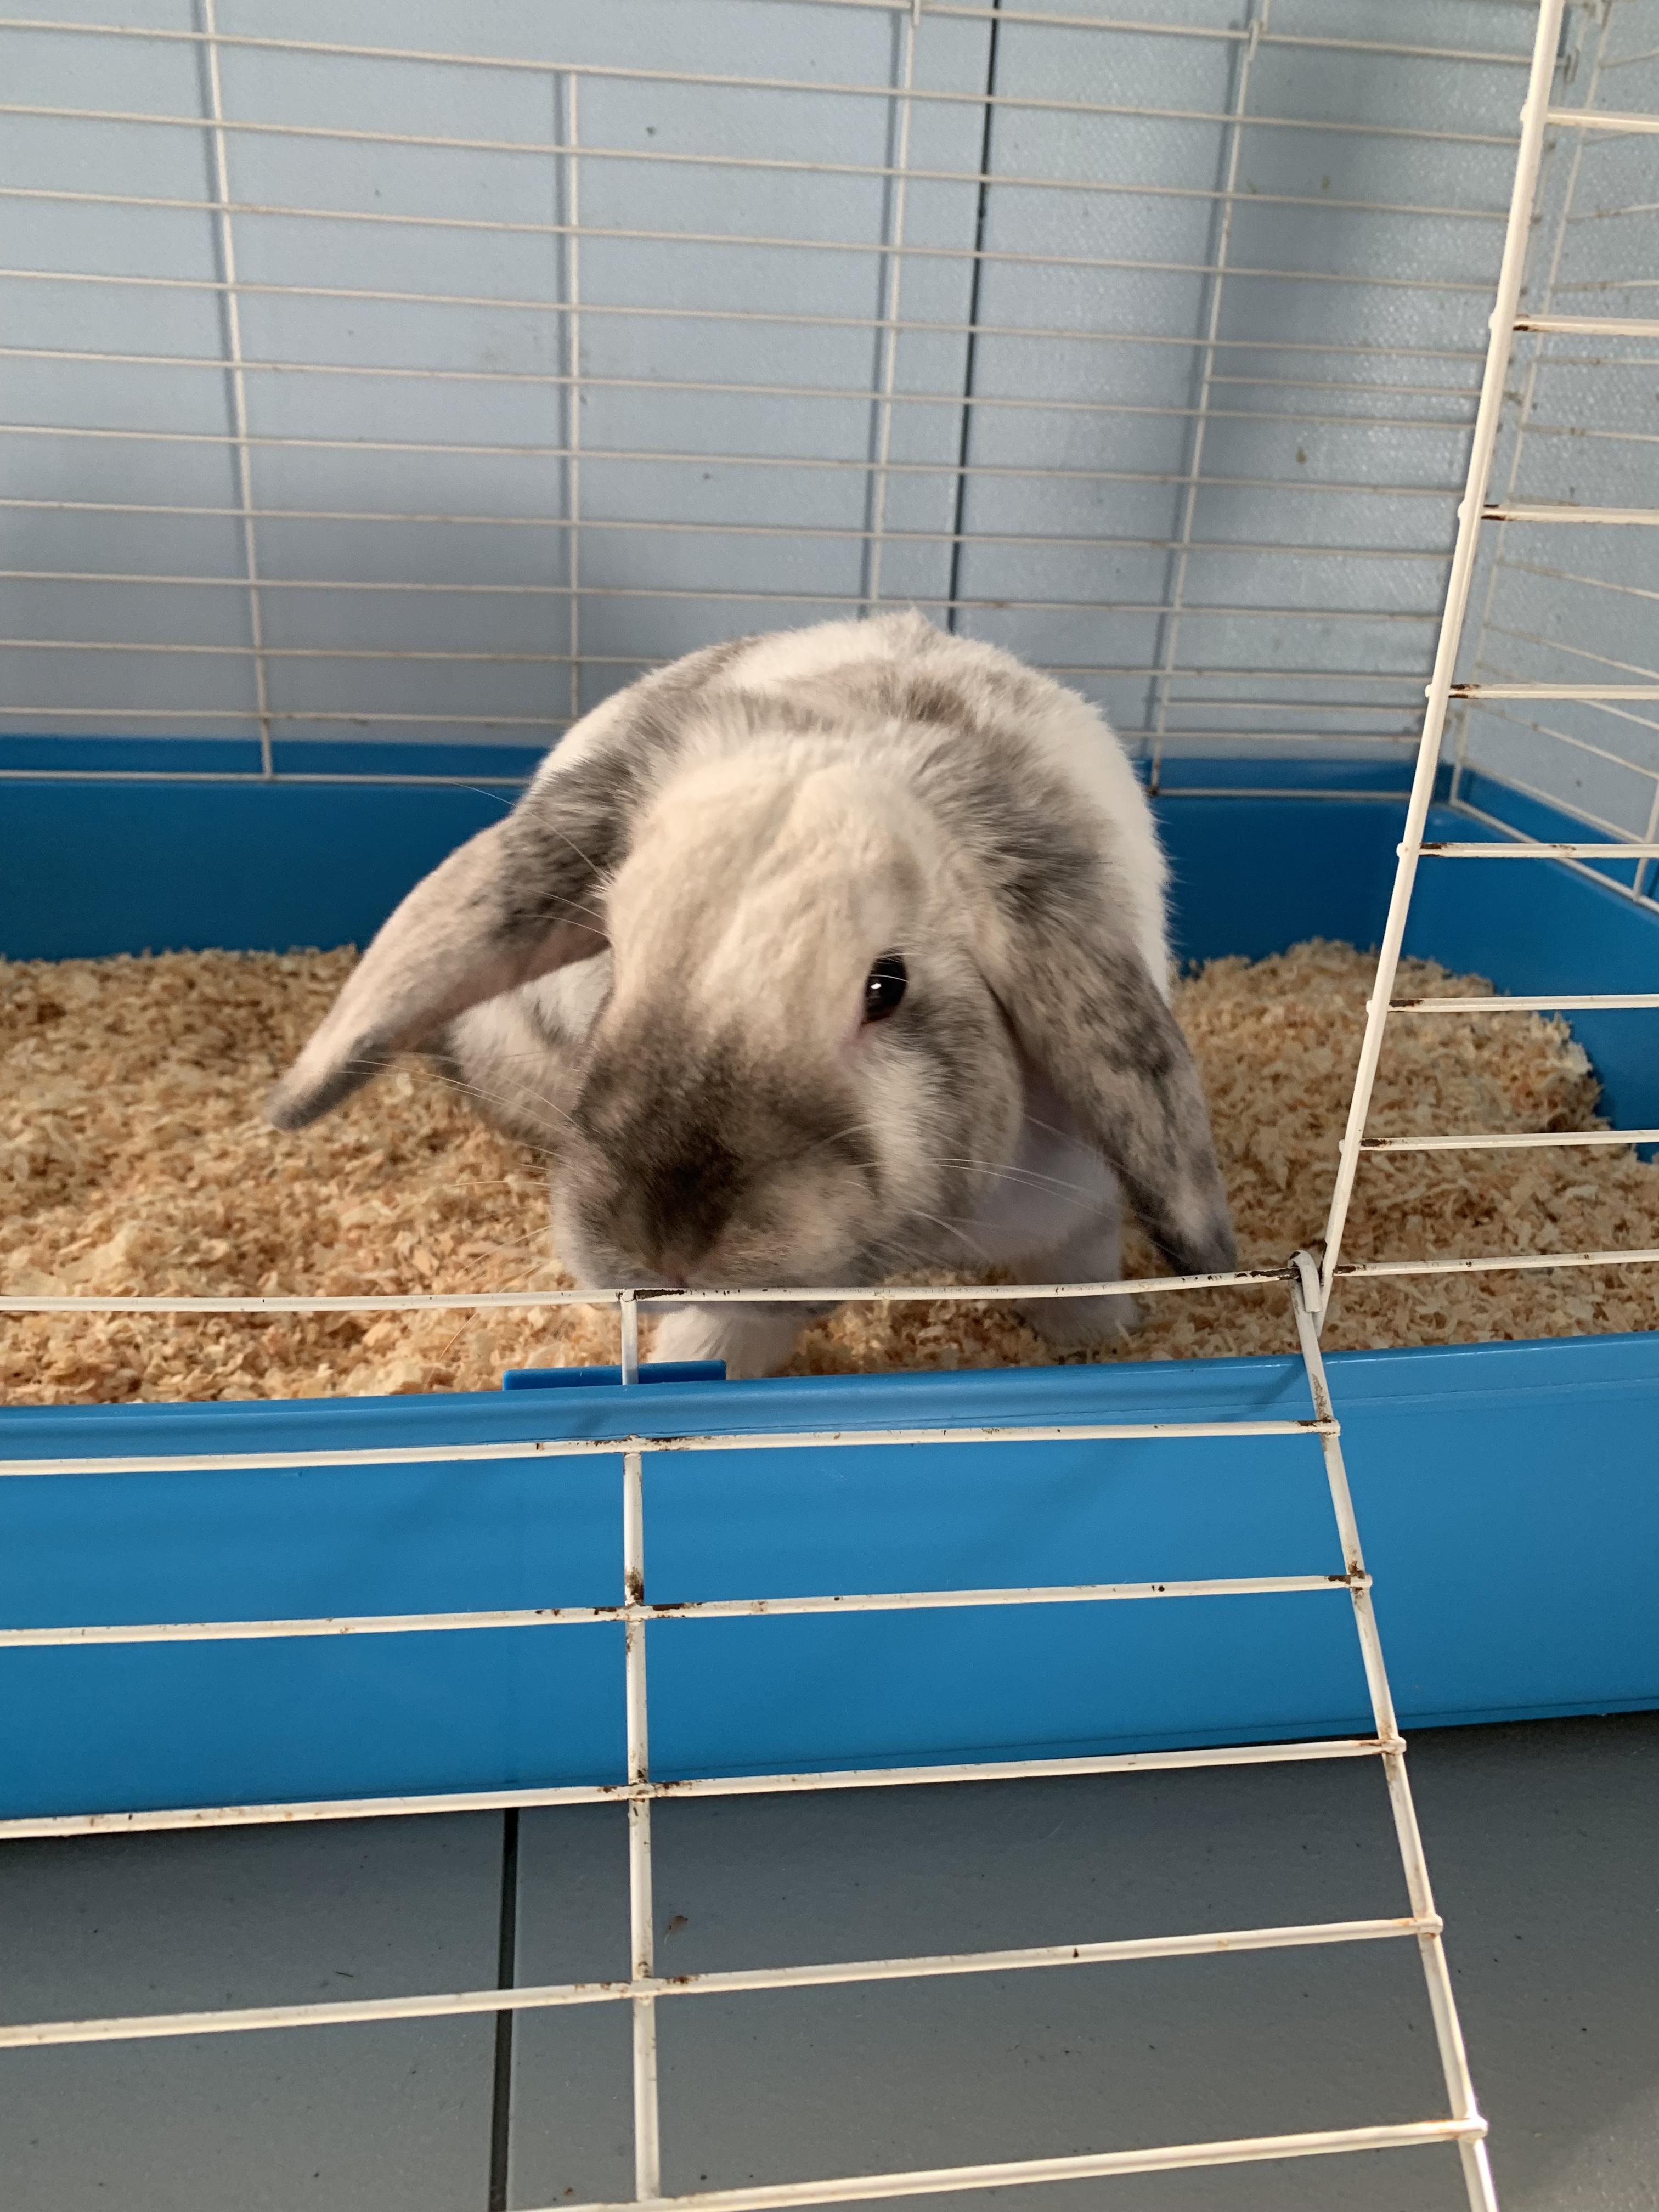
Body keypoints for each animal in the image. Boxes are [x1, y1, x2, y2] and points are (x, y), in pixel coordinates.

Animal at [265, 612, 1236, 1378]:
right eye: (617, 955)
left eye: (887, 986)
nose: (665, 1251)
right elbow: (716, 1346)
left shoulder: (1078, 1211)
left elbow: (1081, 1283)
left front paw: (1104, 1342)